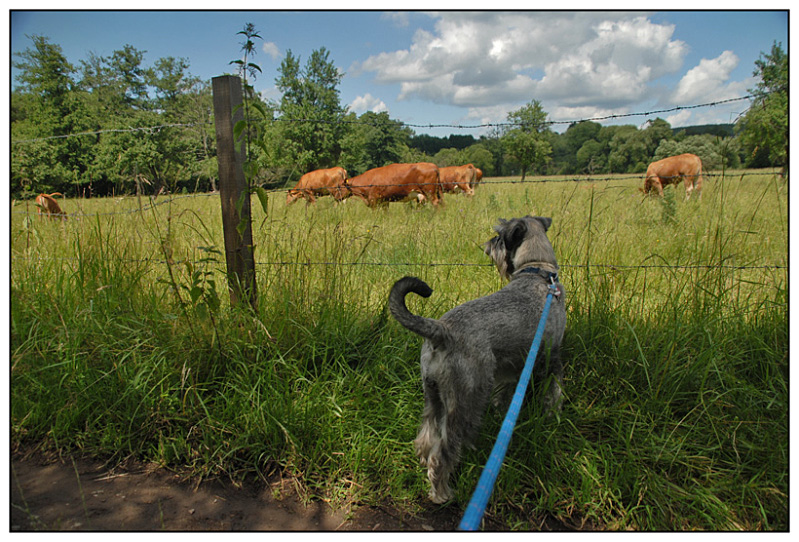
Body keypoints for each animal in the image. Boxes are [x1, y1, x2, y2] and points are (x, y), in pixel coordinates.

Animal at [390, 217, 564, 506]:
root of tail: (441, 330)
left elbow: (505, 394)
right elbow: (554, 392)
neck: (538, 271)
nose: (487, 247)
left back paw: (425, 457)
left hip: (433, 393)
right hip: (467, 397)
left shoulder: (510, 370)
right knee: (444, 452)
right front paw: (553, 414)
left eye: (500, 236)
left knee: (428, 433)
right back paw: (442, 492)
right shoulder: (551, 359)